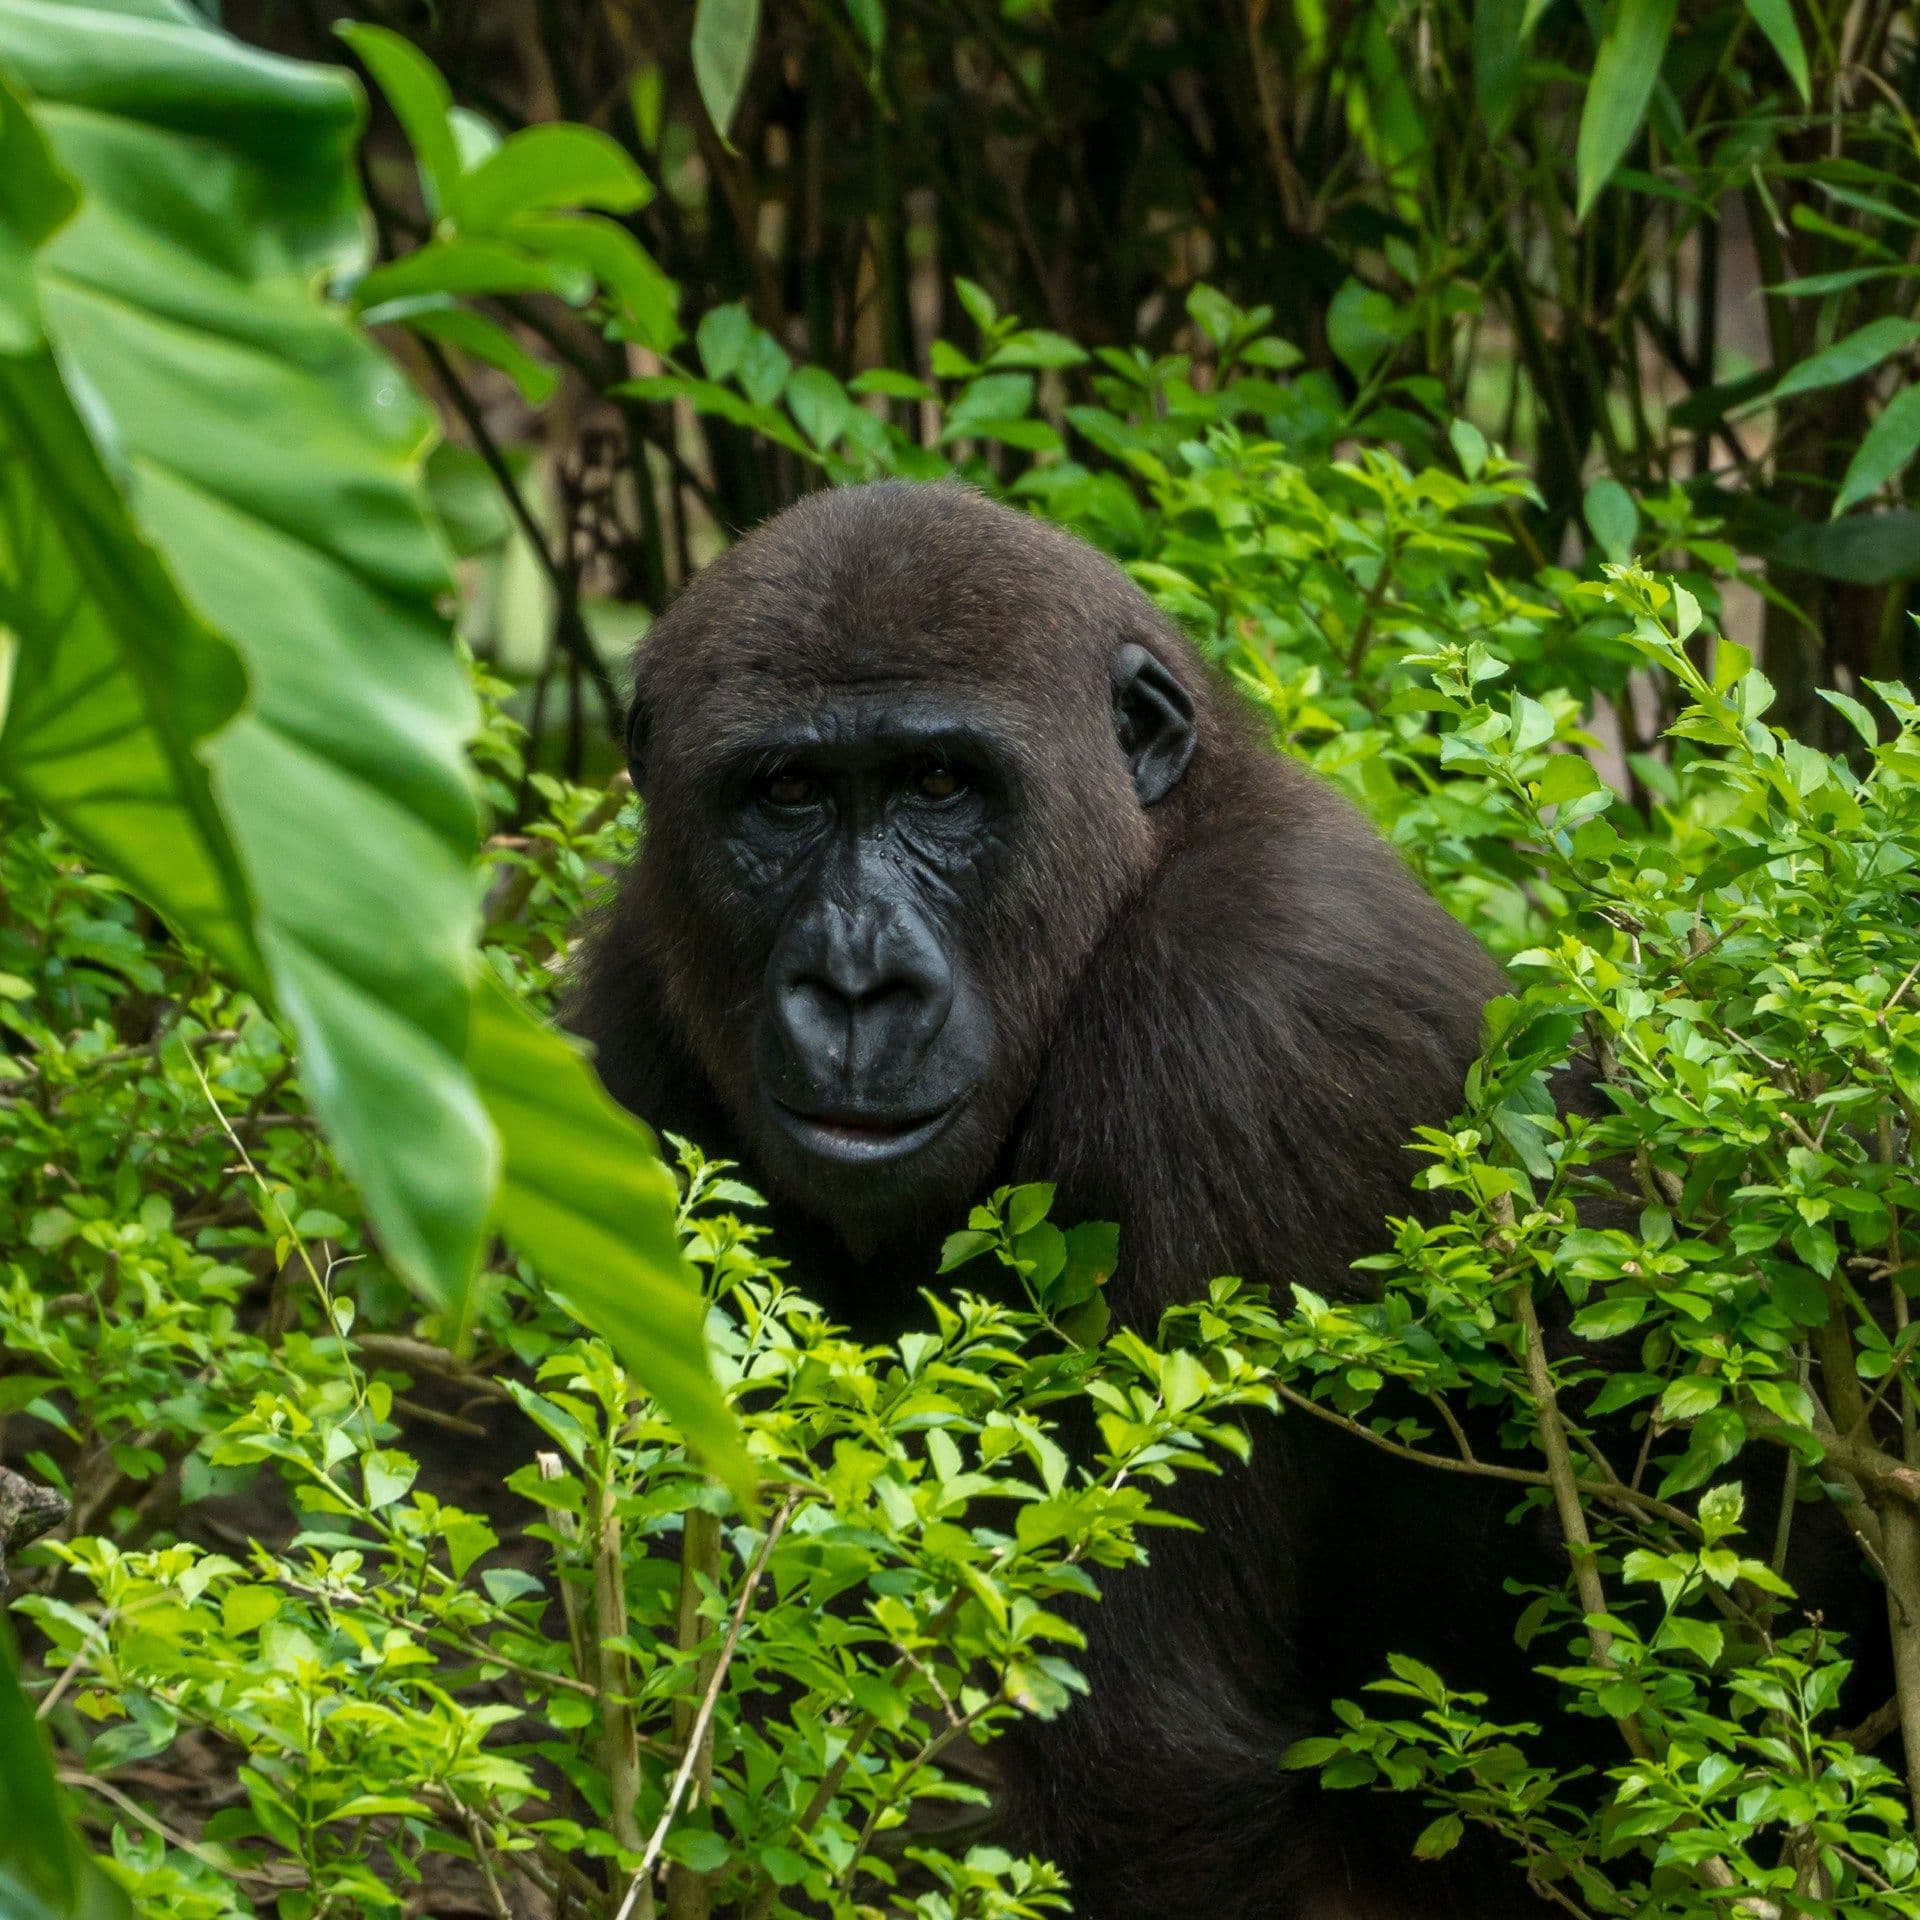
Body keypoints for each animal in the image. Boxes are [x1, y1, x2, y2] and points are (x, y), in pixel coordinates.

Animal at [570, 479, 1564, 1918]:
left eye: (941, 783)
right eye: (786, 795)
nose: (856, 986)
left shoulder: (1250, 1011)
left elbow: (1135, 1758)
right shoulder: (629, 1019)